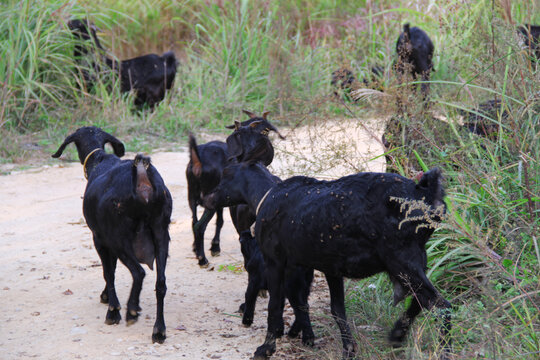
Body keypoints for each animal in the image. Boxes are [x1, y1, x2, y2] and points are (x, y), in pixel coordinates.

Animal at [51, 126, 171, 344]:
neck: (99, 160)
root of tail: (142, 179)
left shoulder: (99, 238)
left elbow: (108, 272)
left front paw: (113, 309)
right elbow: (111, 269)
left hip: (119, 238)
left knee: (138, 272)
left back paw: (130, 311)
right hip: (160, 233)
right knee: (161, 283)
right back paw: (159, 330)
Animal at [187, 111, 282, 266]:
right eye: (265, 131)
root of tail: (198, 162)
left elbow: (220, 220)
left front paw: (214, 246)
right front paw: (214, 247)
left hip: (193, 196)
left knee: (194, 222)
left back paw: (197, 250)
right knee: (200, 225)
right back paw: (202, 259)